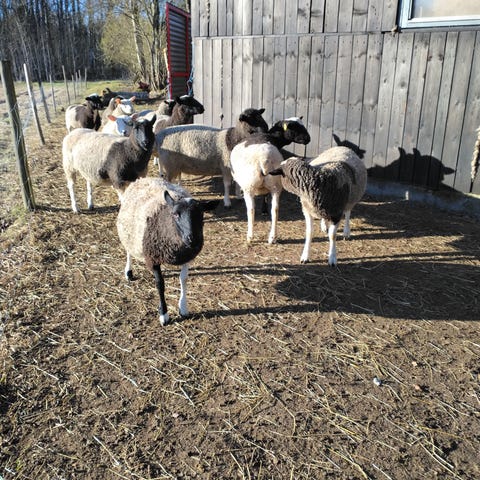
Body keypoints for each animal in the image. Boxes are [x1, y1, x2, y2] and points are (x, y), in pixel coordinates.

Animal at [116, 177, 219, 326]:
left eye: (201, 214)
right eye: (175, 214)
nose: (193, 239)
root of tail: (143, 178)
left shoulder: (187, 257)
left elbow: (184, 279)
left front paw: (183, 307)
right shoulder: (153, 258)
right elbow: (160, 284)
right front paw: (163, 314)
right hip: (129, 235)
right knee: (129, 251)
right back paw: (128, 272)